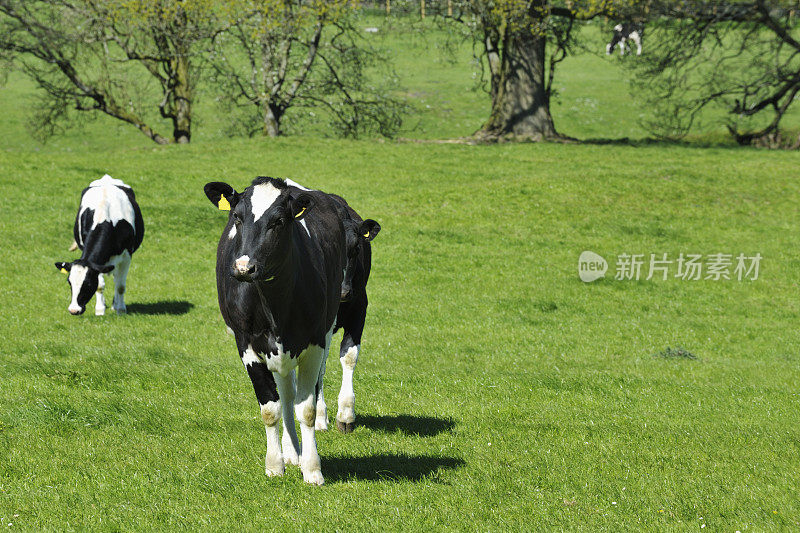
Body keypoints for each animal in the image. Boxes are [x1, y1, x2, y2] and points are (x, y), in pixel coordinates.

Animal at [54, 175, 144, 316]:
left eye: (88, 284)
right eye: (69, 282)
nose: (74, 310)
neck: (106, 219)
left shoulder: (126, 256)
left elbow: (120, 286)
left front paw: (120, 310)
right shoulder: (98, 263)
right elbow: (100, 286)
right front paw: (100, 310)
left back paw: (116, 305)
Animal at [203, 177, 346, 484]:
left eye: (279, 221)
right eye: (237, 217)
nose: (244, 267)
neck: (273, 301)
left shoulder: (314, 342)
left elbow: (307, 408)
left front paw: (312, 468)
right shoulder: (246, 344)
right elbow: (270, 408)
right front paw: (275, 464)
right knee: (286, 394)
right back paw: (291, 452)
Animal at [282, 179, 382, 432]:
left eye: (357, 248)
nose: (343, 291)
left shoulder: (360, 307)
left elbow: (349, 356)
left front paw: (346, 414)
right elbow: (319, 367)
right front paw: (319, 416)